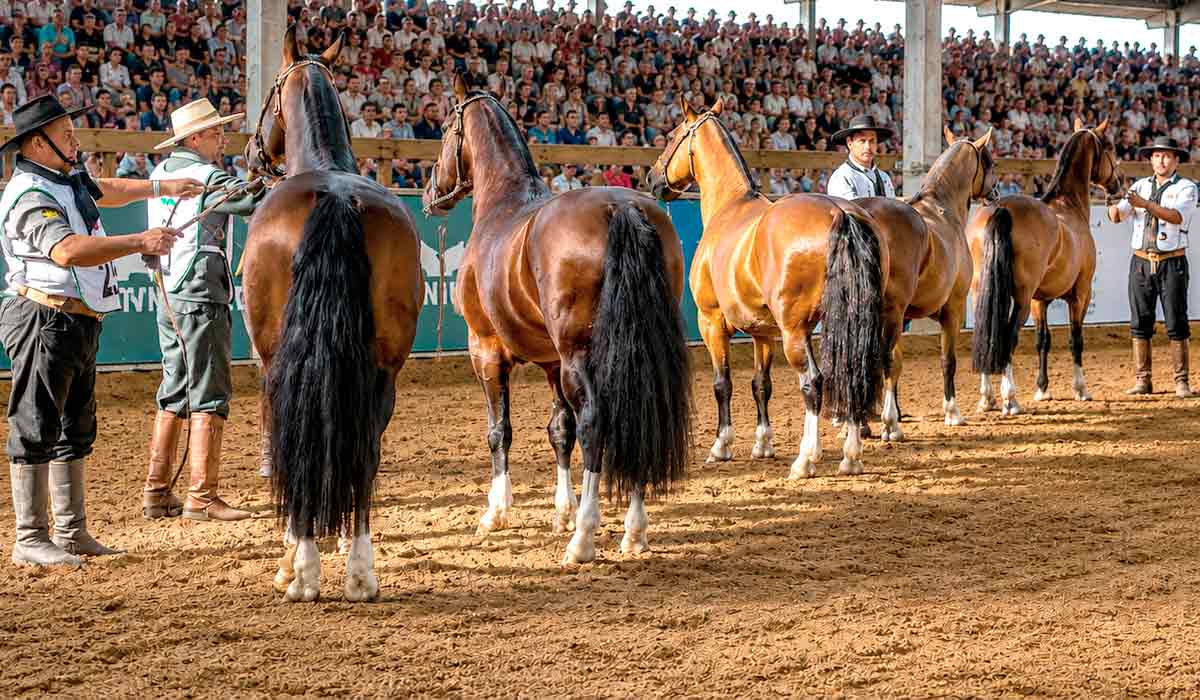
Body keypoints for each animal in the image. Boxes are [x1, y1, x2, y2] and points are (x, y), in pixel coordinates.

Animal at [241, 27, 424, 602]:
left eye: (268, 94)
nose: (251, 154)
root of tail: (337, 199)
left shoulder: (265, 365)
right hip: (383, 368)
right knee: (365, 450)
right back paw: (361, 571)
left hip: (281, 361)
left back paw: (300, 568)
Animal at [421, 75, 692, 565]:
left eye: (447, 129)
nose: (431, 193)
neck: (504, 205)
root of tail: (621, 208)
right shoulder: (550, 362)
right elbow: (559, 431)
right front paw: (561, 511)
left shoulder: (485, 351)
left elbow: (500, 431)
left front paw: (497, 512)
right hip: (627, 350)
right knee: (637, 414)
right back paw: (633, 531)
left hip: (577, 356)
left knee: (596, 422)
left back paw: (583, 539)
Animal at [646, 98, 891, 478]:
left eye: (672, 135)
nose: (652, 179)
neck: (731, 206)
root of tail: (840, 213)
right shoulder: (763, 332)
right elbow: (761, 384)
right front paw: (763, 443)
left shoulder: (711, 321)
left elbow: (723, 383)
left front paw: (722, 446)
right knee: (854, 371)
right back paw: (851, 456)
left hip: (794, 331)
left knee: (813, 382)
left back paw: (806, 459)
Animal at [853, 128, 998, 440]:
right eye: (991, 162)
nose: (994, 193)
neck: (942, 208)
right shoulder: (952, 309)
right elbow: (947, 360)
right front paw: (952, 413)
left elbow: (898, 365)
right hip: (890, 312)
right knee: (881, 359)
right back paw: (888, 426)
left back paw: (859, 424)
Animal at [968, 119, 1122, 415]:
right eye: (1109, 146)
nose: (1117, 185)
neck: (1069, 205)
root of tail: (1001, 209)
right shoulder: (1080, 294)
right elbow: (1075, 339)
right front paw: (1081, 389)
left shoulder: (1040, 300)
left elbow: (1043, 340)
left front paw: (1042, 388)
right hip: (1021, 300)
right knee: (1008, 336)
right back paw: (1010, 399)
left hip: (985, 292)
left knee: (987, 331)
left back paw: (986, 397)